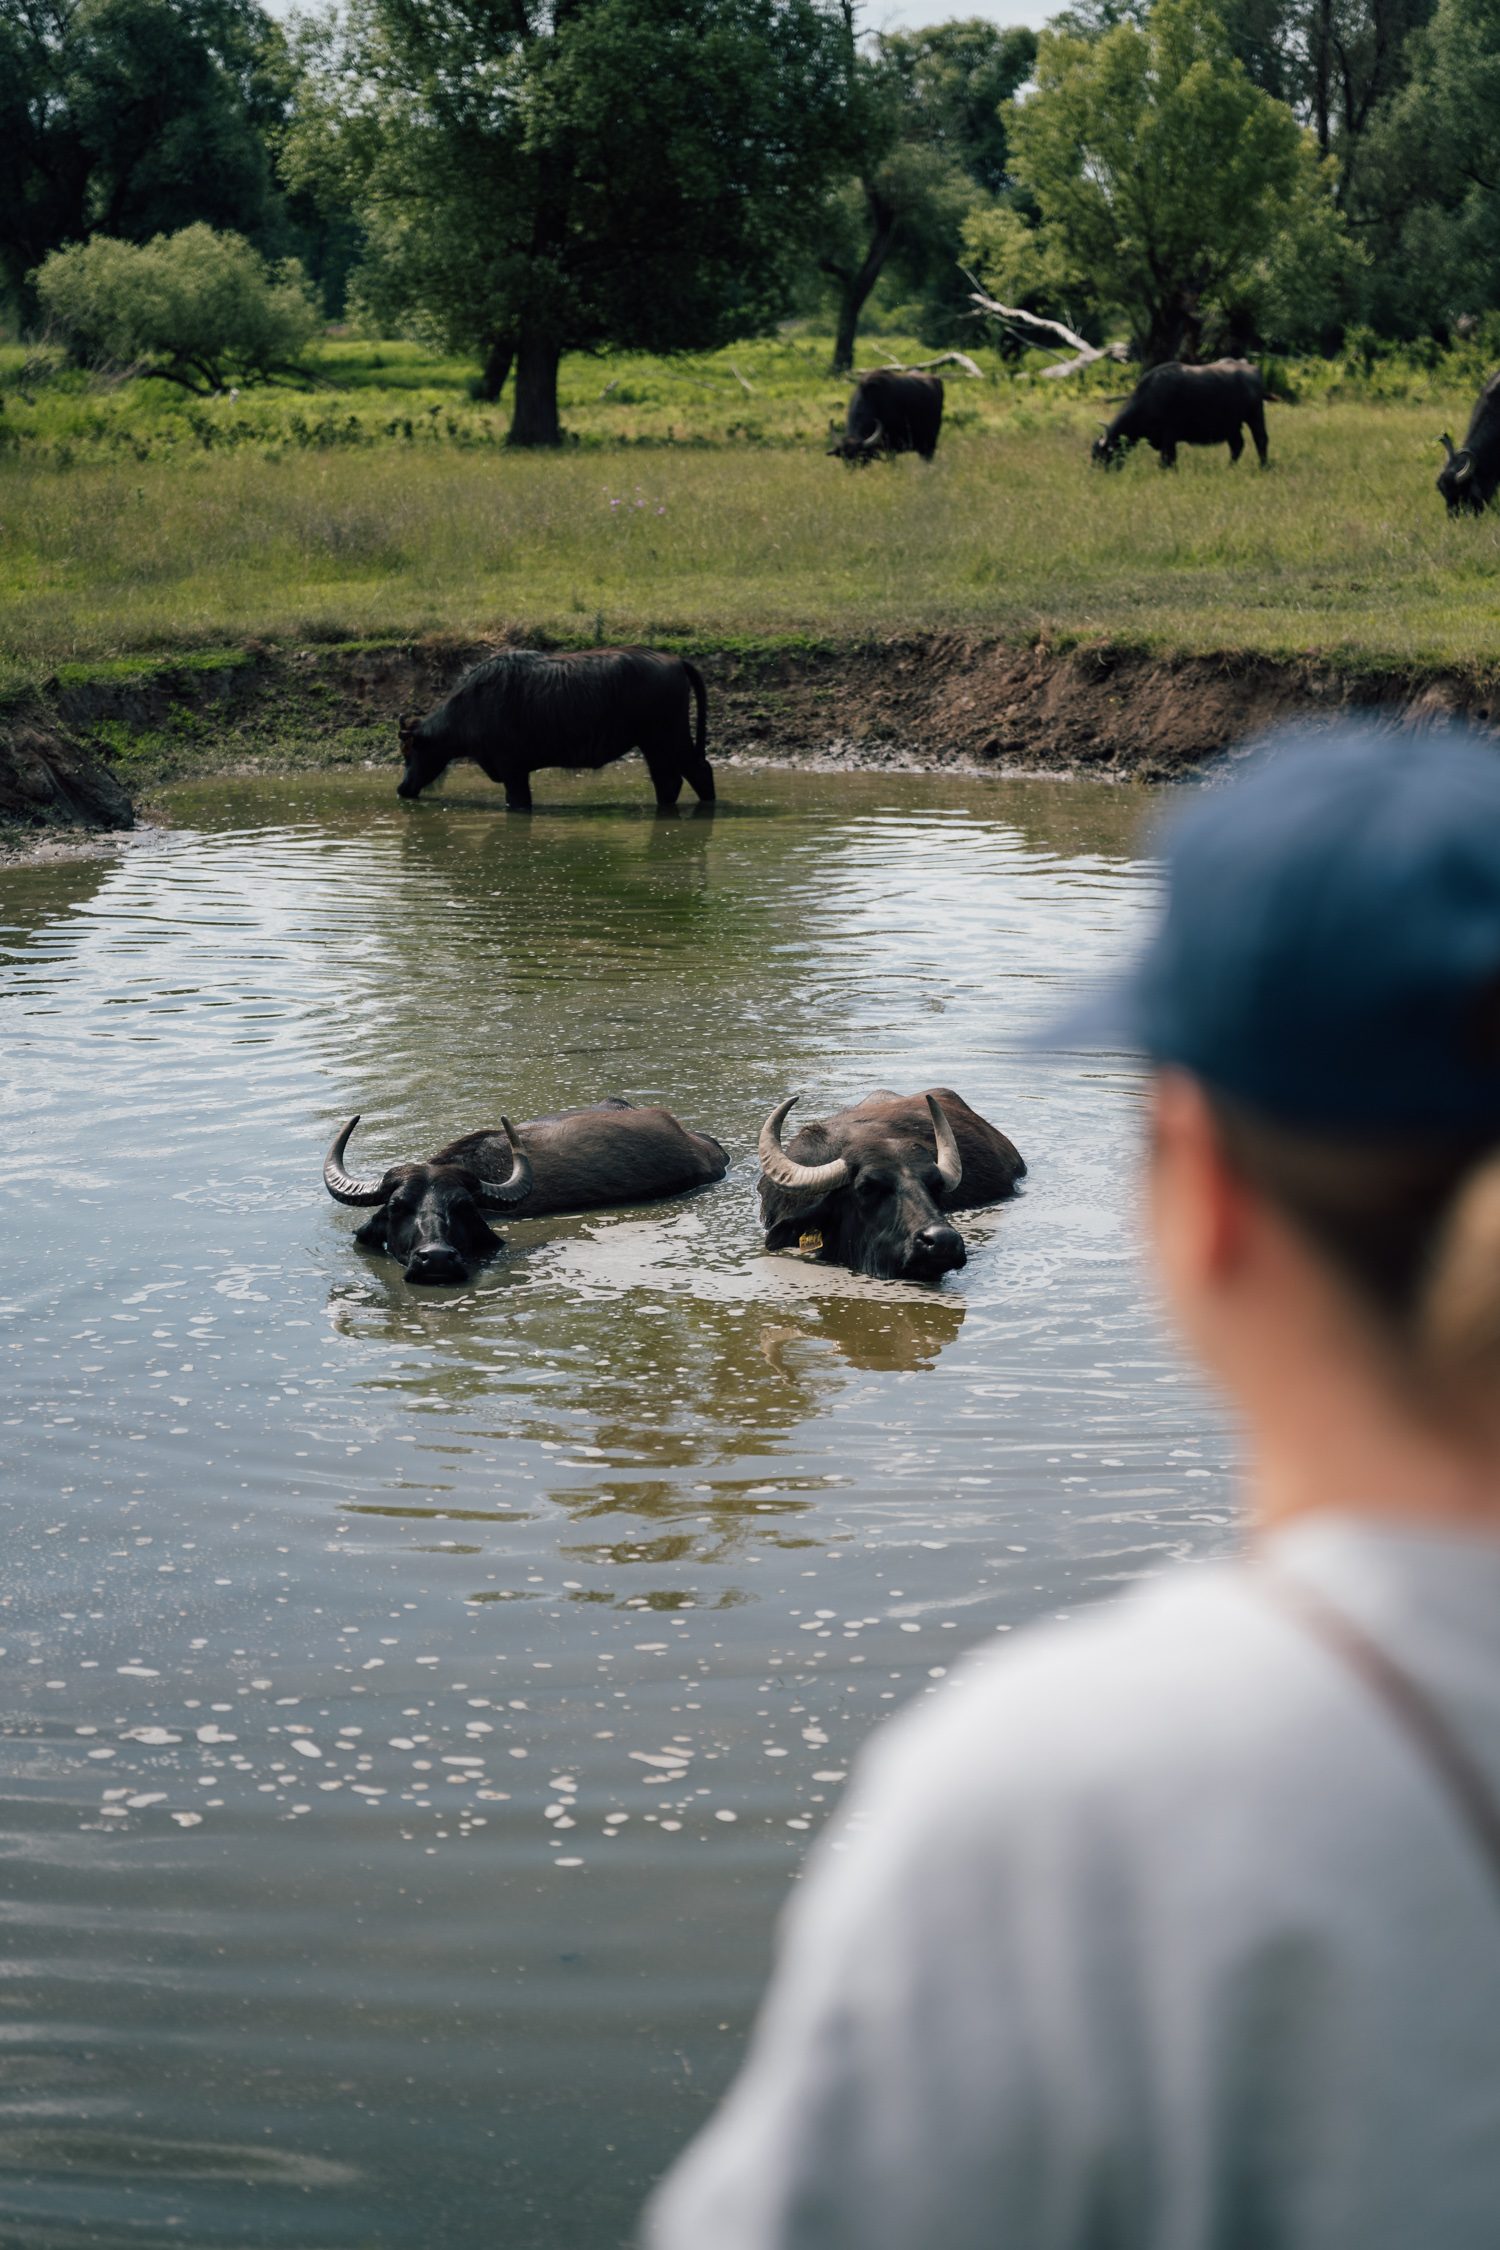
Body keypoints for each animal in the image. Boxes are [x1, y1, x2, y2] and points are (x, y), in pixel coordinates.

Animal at [397, 648, 714, 813]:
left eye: (410, 752)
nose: (402, 788)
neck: (471, 705)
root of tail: (676, 660)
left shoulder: (513, 771)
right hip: (654, 746)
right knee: (669, 782)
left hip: (666, 738)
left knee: (697, 771)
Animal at [1092, 360, 1269, 470]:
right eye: (1093, 455)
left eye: (1102, 455)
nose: (1096, 473)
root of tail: (1254, 370)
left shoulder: (1169, 437)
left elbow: (1167, 459)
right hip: (1231, 426)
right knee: (1237, 445)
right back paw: (1229, 467)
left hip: (1255, 416)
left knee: (1260, 439)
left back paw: (1263, 467)